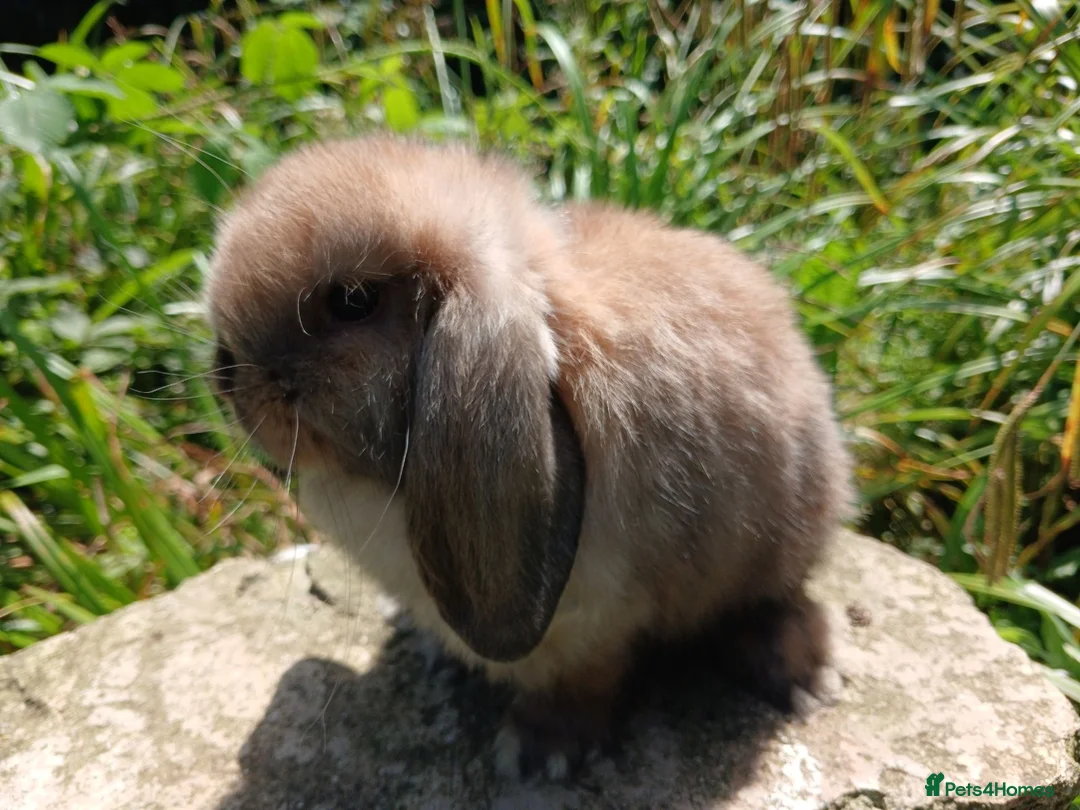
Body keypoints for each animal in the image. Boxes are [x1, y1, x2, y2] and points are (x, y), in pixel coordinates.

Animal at [205, 134, 854, 781]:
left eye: (353, 300)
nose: (224, 373)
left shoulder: (593, 621)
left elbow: (580, 684)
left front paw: (541, 753)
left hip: (776, 543)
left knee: (781, 602)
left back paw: (805, 682)